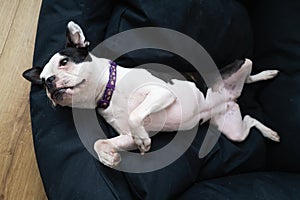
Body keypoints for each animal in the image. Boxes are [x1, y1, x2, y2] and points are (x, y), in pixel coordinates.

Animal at [22, 21, 278, 168]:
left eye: (64, 62)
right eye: (42, 82)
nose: (50, 83)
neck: (109, 90)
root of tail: (231, 97)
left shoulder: (161, 92)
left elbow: (136, 115)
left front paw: (143, 141)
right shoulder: (126, 136)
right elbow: (99, 141)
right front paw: (109, 157)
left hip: (240, 63)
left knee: (249, 73)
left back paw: (267, 74)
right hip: (233, 130)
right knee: (249, 120)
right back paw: (270, 132)